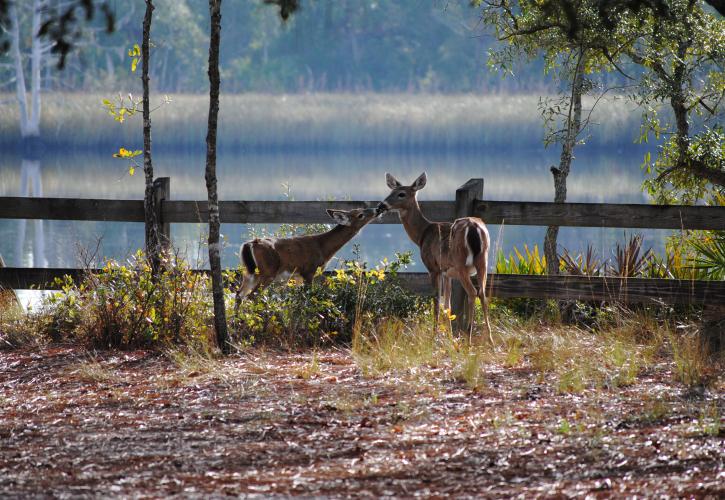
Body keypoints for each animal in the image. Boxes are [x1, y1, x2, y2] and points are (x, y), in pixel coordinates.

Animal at [233, 205, 378, 302]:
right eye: (360, 215)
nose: (378, 209)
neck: (322, 247)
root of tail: (250, 244)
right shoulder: (309, 270)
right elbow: (309, 296)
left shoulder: (297, 275)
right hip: (267, 272)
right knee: (251, 296)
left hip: (249, 272)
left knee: (239, 294)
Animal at [376, 173, 494, 344]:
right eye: (391, 191)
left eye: (401, 194)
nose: (381, 205)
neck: (422, 234)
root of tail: (474, 227)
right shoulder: (447, 272)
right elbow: (448, 305)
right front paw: (449, 337)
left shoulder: (433, 268)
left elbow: (437, 302)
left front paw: (434, 336)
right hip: (482, 260)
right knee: (483, 294)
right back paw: (490, 340)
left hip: (461, 263)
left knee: (473, 292)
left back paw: (469, 337)